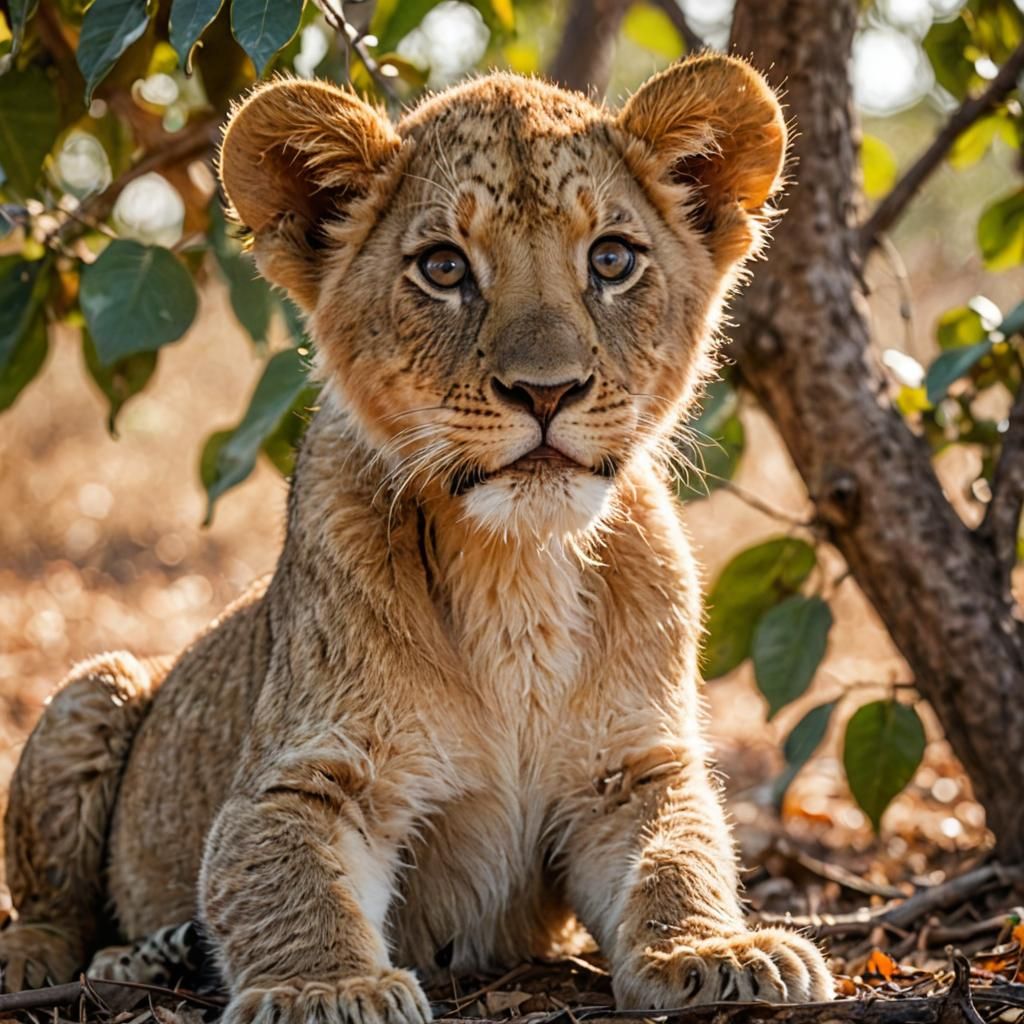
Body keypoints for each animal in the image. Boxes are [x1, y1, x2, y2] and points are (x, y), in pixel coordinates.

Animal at [0, 57, 833, 1018]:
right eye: (444, 267)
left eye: (612, 258)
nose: (546, 391)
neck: (515, 567)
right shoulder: (313, 771)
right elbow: (281, 875)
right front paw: (325, 987)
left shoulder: (629, 771)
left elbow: (680, 855)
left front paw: (719, 948)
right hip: (96, 687)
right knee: (53, 899)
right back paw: (64, 960)